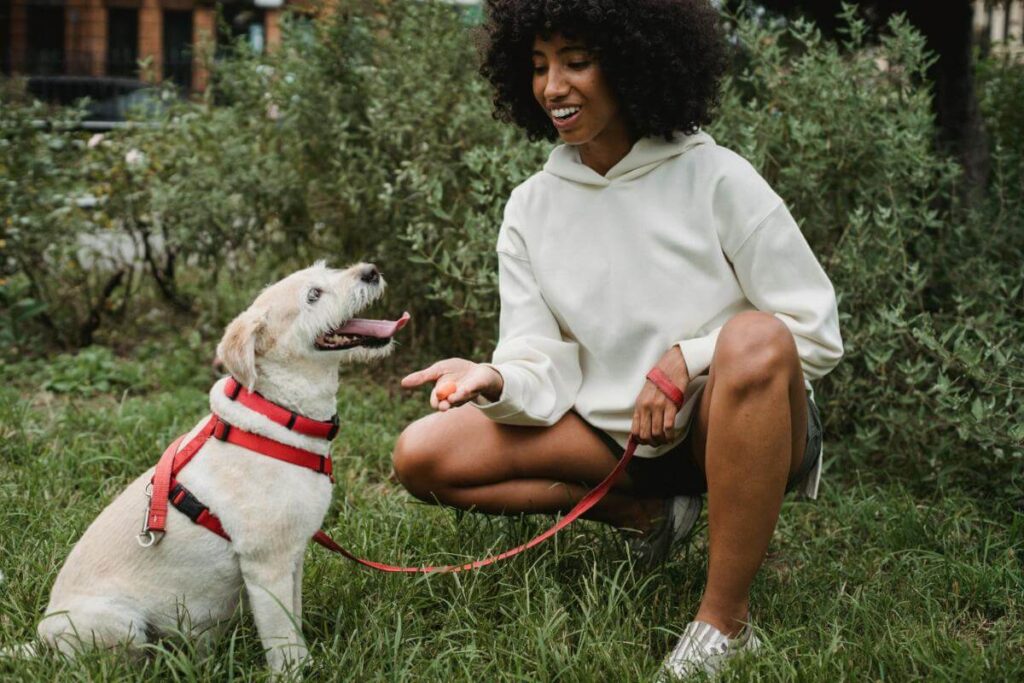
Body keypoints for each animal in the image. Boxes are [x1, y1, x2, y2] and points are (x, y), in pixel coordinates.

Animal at [16, 262, 405, 671]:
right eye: (313, 295)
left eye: (328, 268)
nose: (371, 271)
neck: (280, 415)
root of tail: (39, 643)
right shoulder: (266, 567)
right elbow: (284, 642)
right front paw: (295, 672)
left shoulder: (293, 558)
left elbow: (295, 622)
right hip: (119, 624)